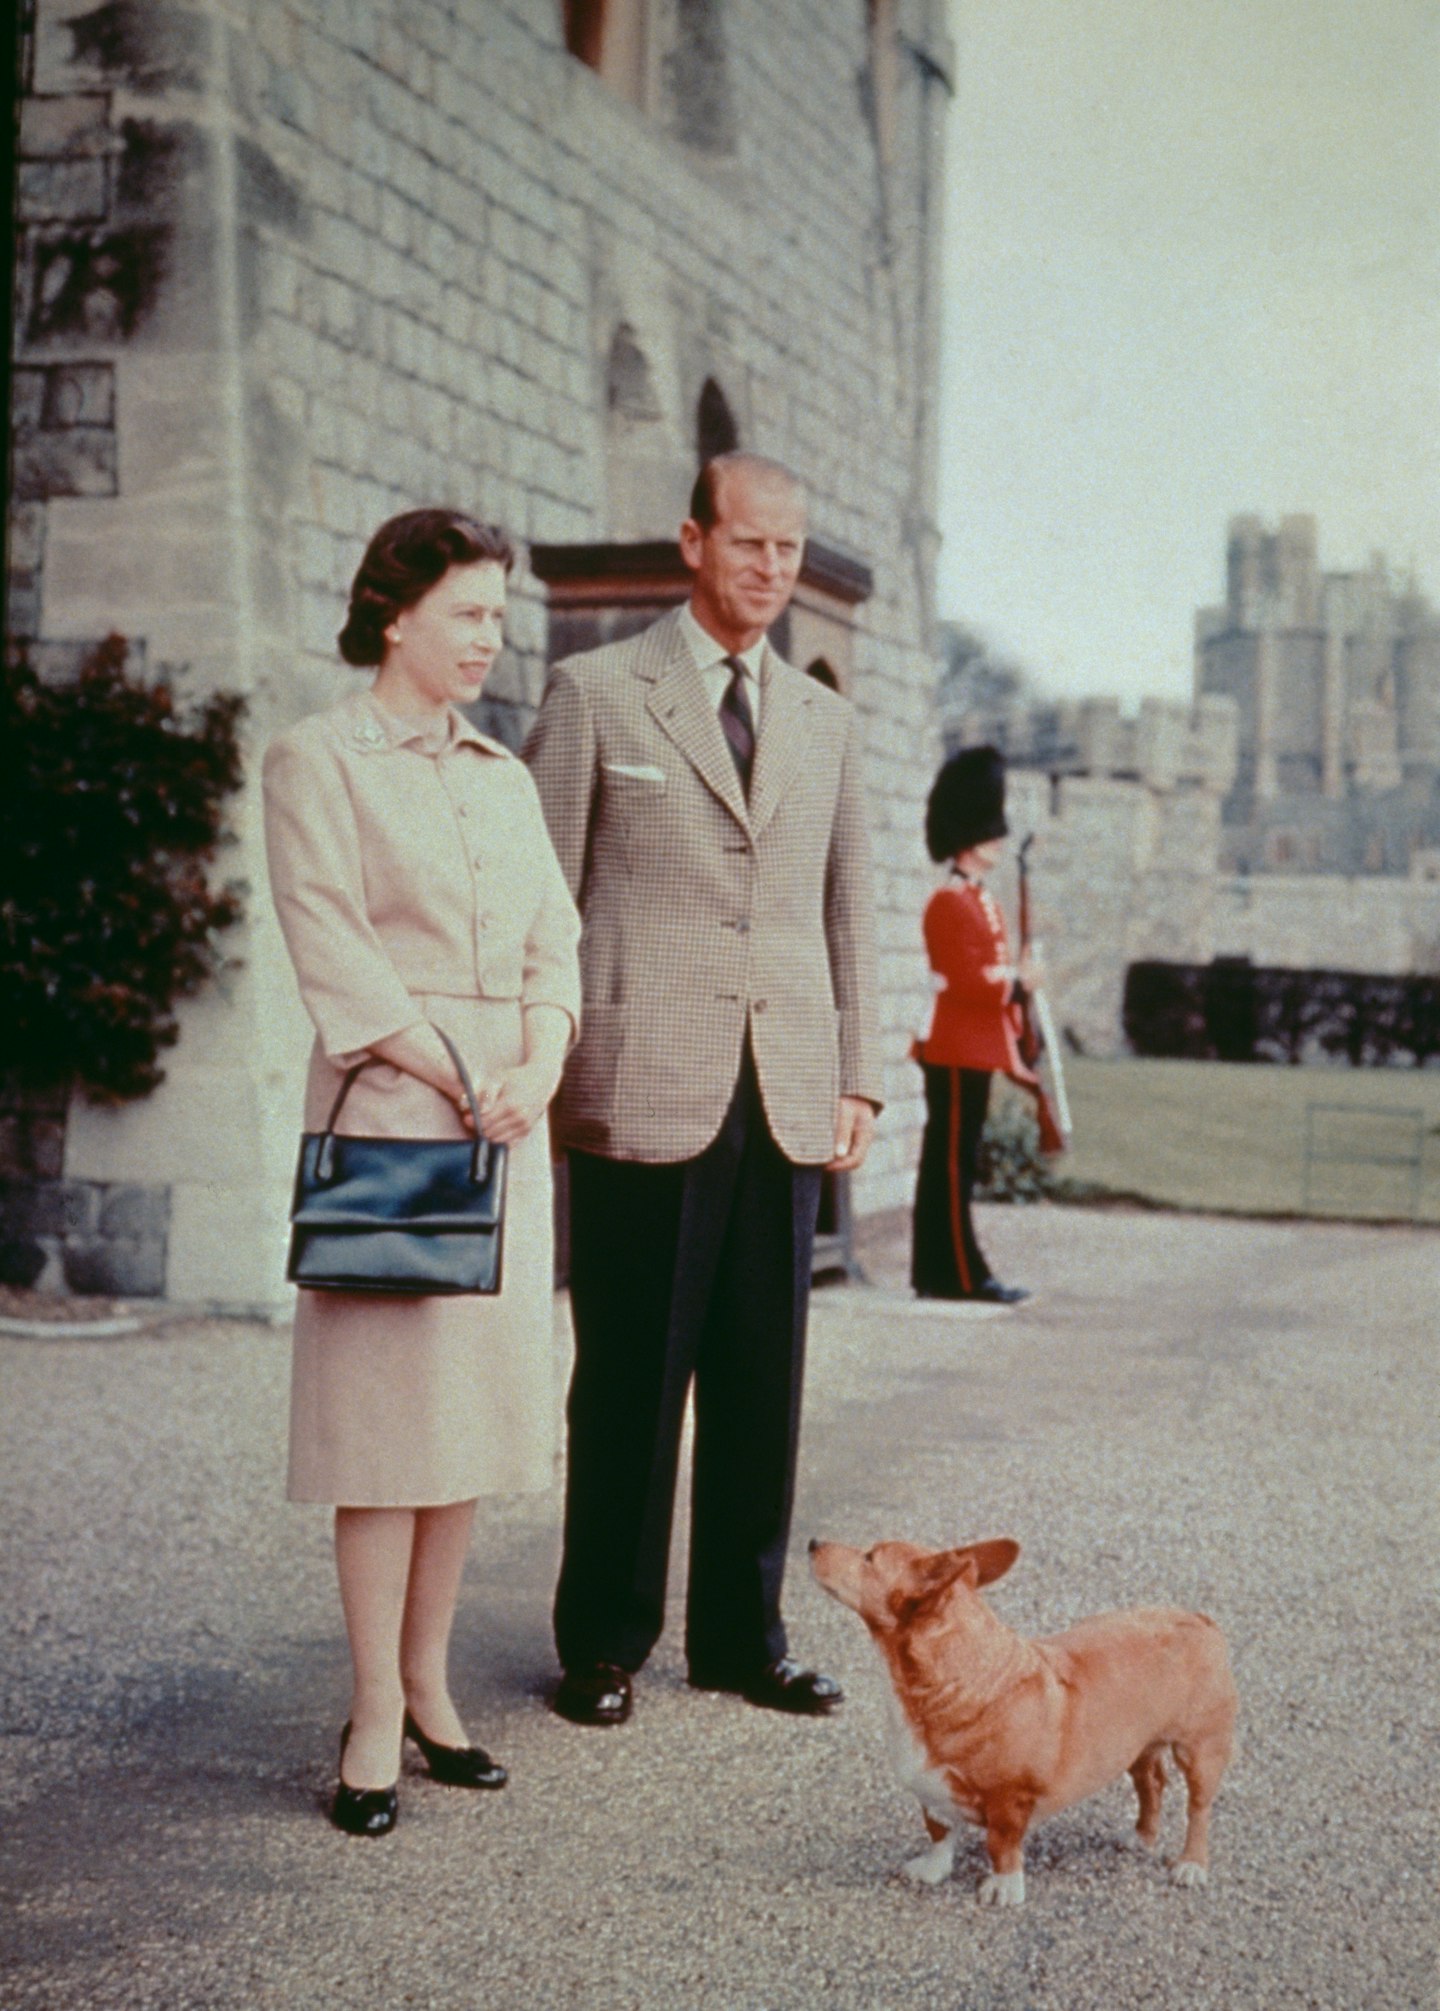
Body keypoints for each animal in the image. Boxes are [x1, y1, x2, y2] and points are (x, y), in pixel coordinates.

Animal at [808, 1528, 1238, 1906]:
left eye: (869, 1558)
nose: (811, 1542)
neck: (953, 1678)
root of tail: (1200, 1619)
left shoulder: (1009, 1799)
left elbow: (1001, 1845)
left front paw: (1004, 1888)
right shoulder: (931, 1793)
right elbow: (939, 1832)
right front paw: (932, 1869)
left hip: (1201, 1751)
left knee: (1199, 1809)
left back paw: (1191, 1865)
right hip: (1137, 1746)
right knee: (1152, 1784)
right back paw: (1141, 1838)